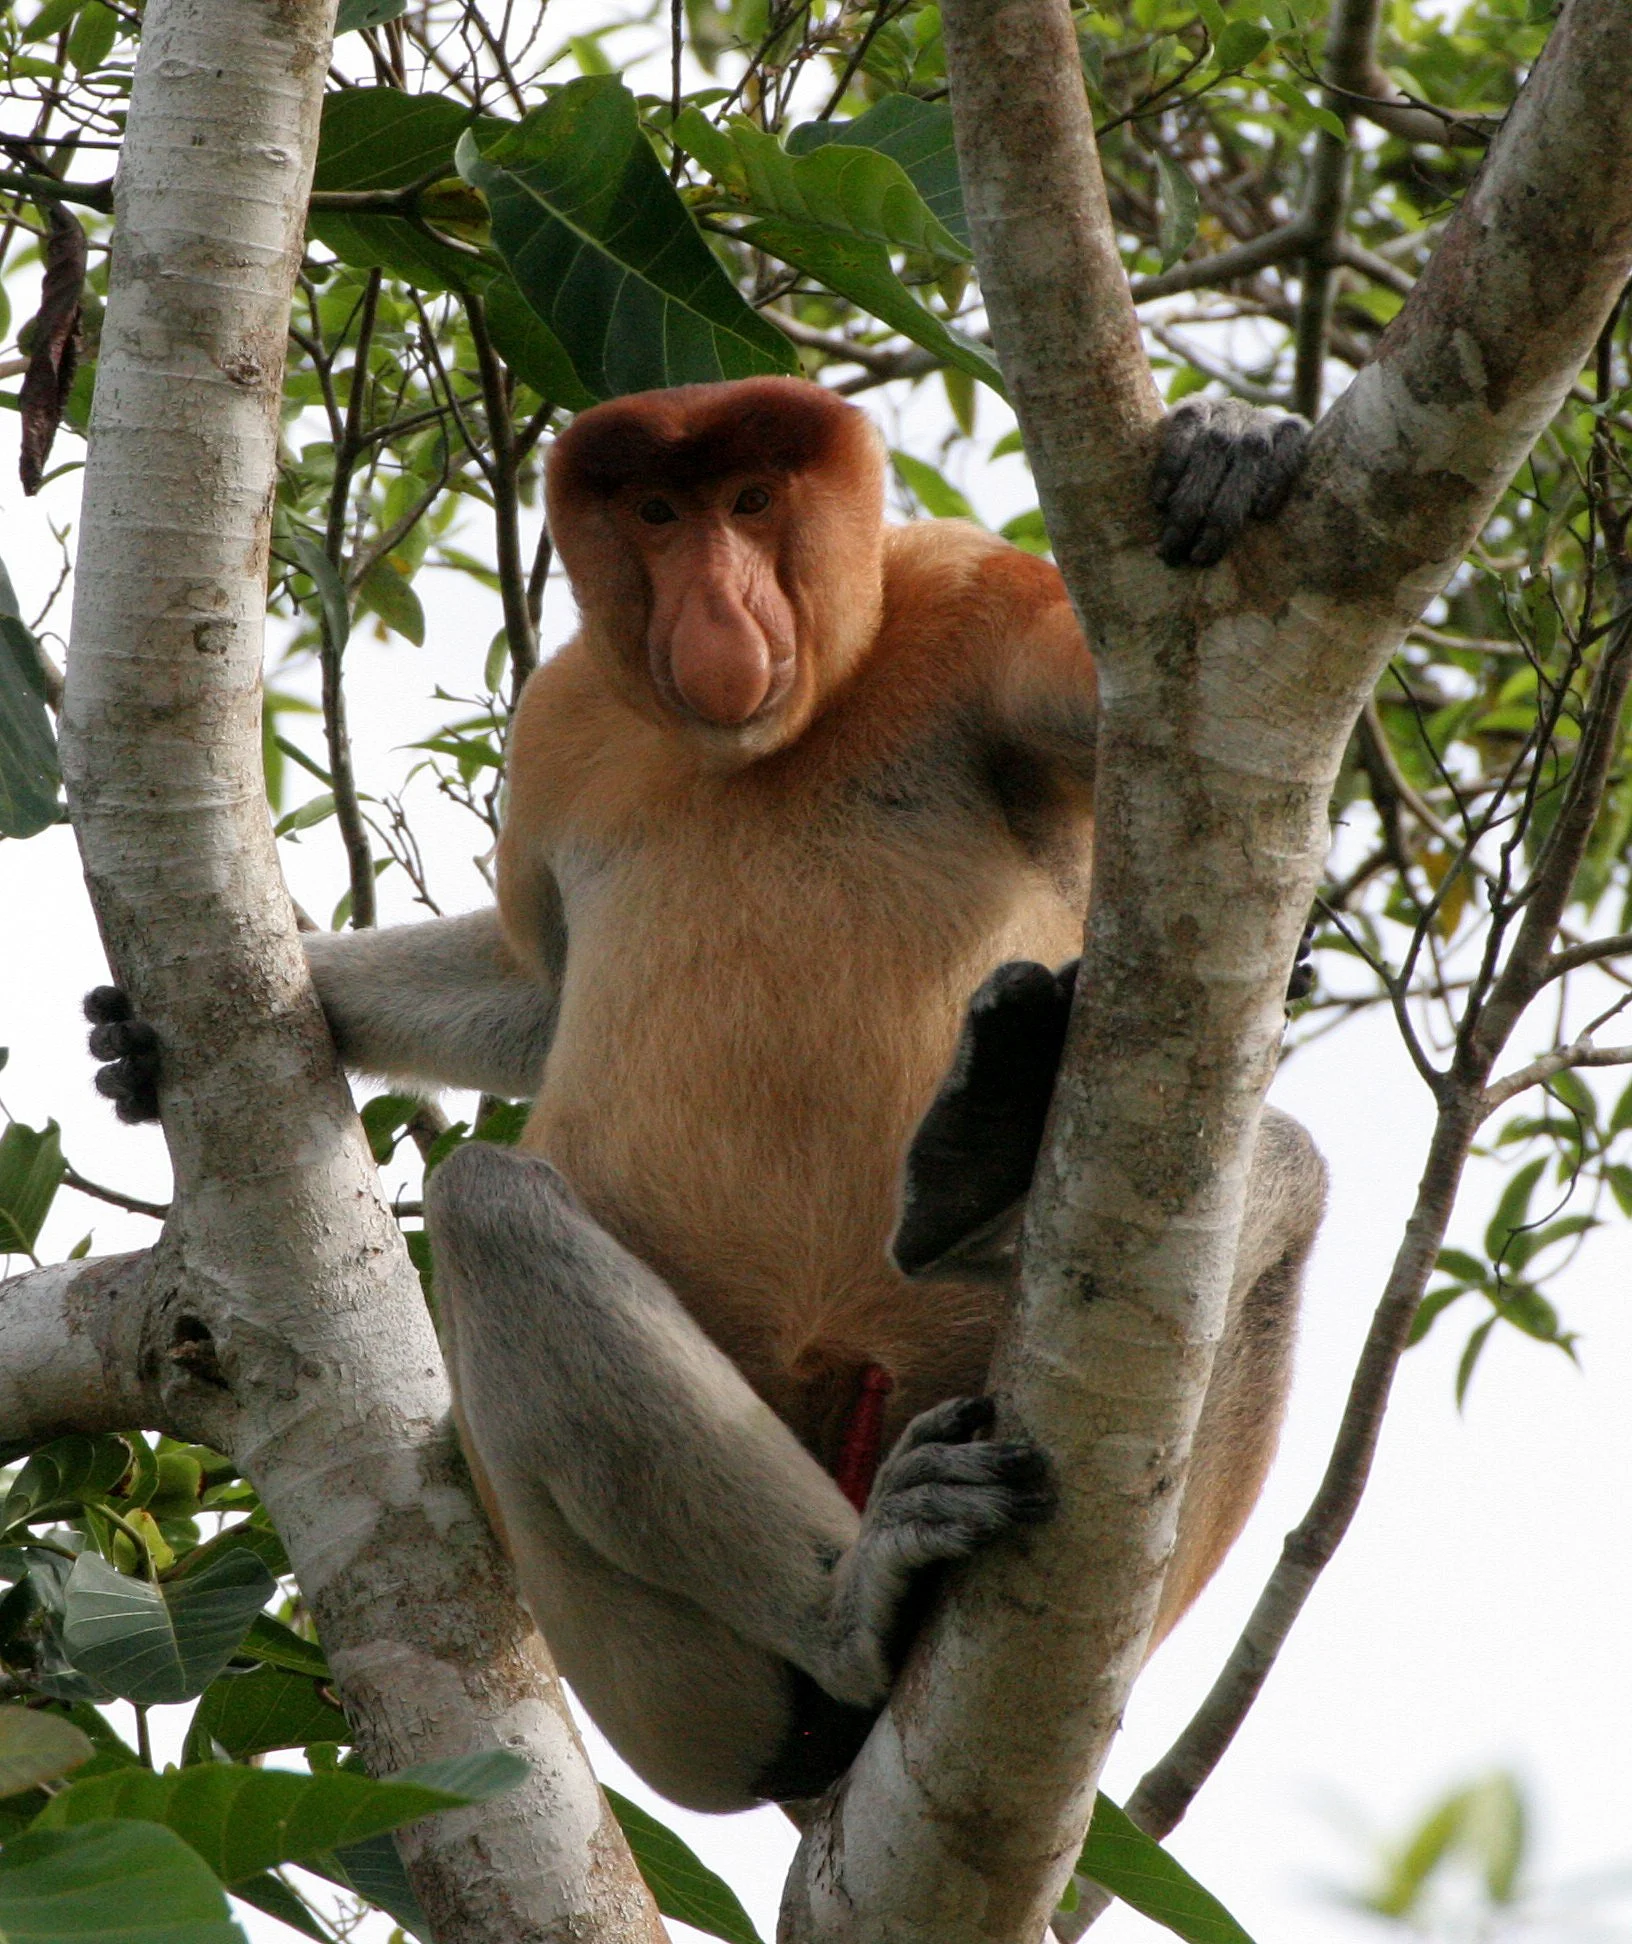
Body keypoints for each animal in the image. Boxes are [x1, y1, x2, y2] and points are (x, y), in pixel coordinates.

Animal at [88, 378, 1324, 1813]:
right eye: (658, 515)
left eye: (752, 500)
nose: (718, 610)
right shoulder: (559, 723)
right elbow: (541, 986)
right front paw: (146, 1044)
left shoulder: (976, 594)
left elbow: (1113, 699)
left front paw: (1233, 448)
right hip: (645, 1685)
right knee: (495, 1208)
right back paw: (858, 1608)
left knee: (1277, 1173)